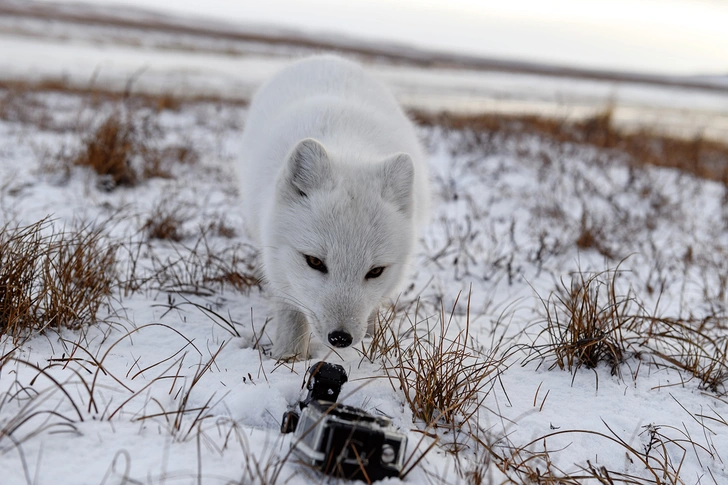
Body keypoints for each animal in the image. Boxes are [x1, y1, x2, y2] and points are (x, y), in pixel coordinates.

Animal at [239, 56, 430, 360]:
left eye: (375, 271)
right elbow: (291, 313)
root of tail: (327, 57)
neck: (347, 146)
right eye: (315, 262)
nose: (341, 338)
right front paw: (287, 359)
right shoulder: (277, 265)